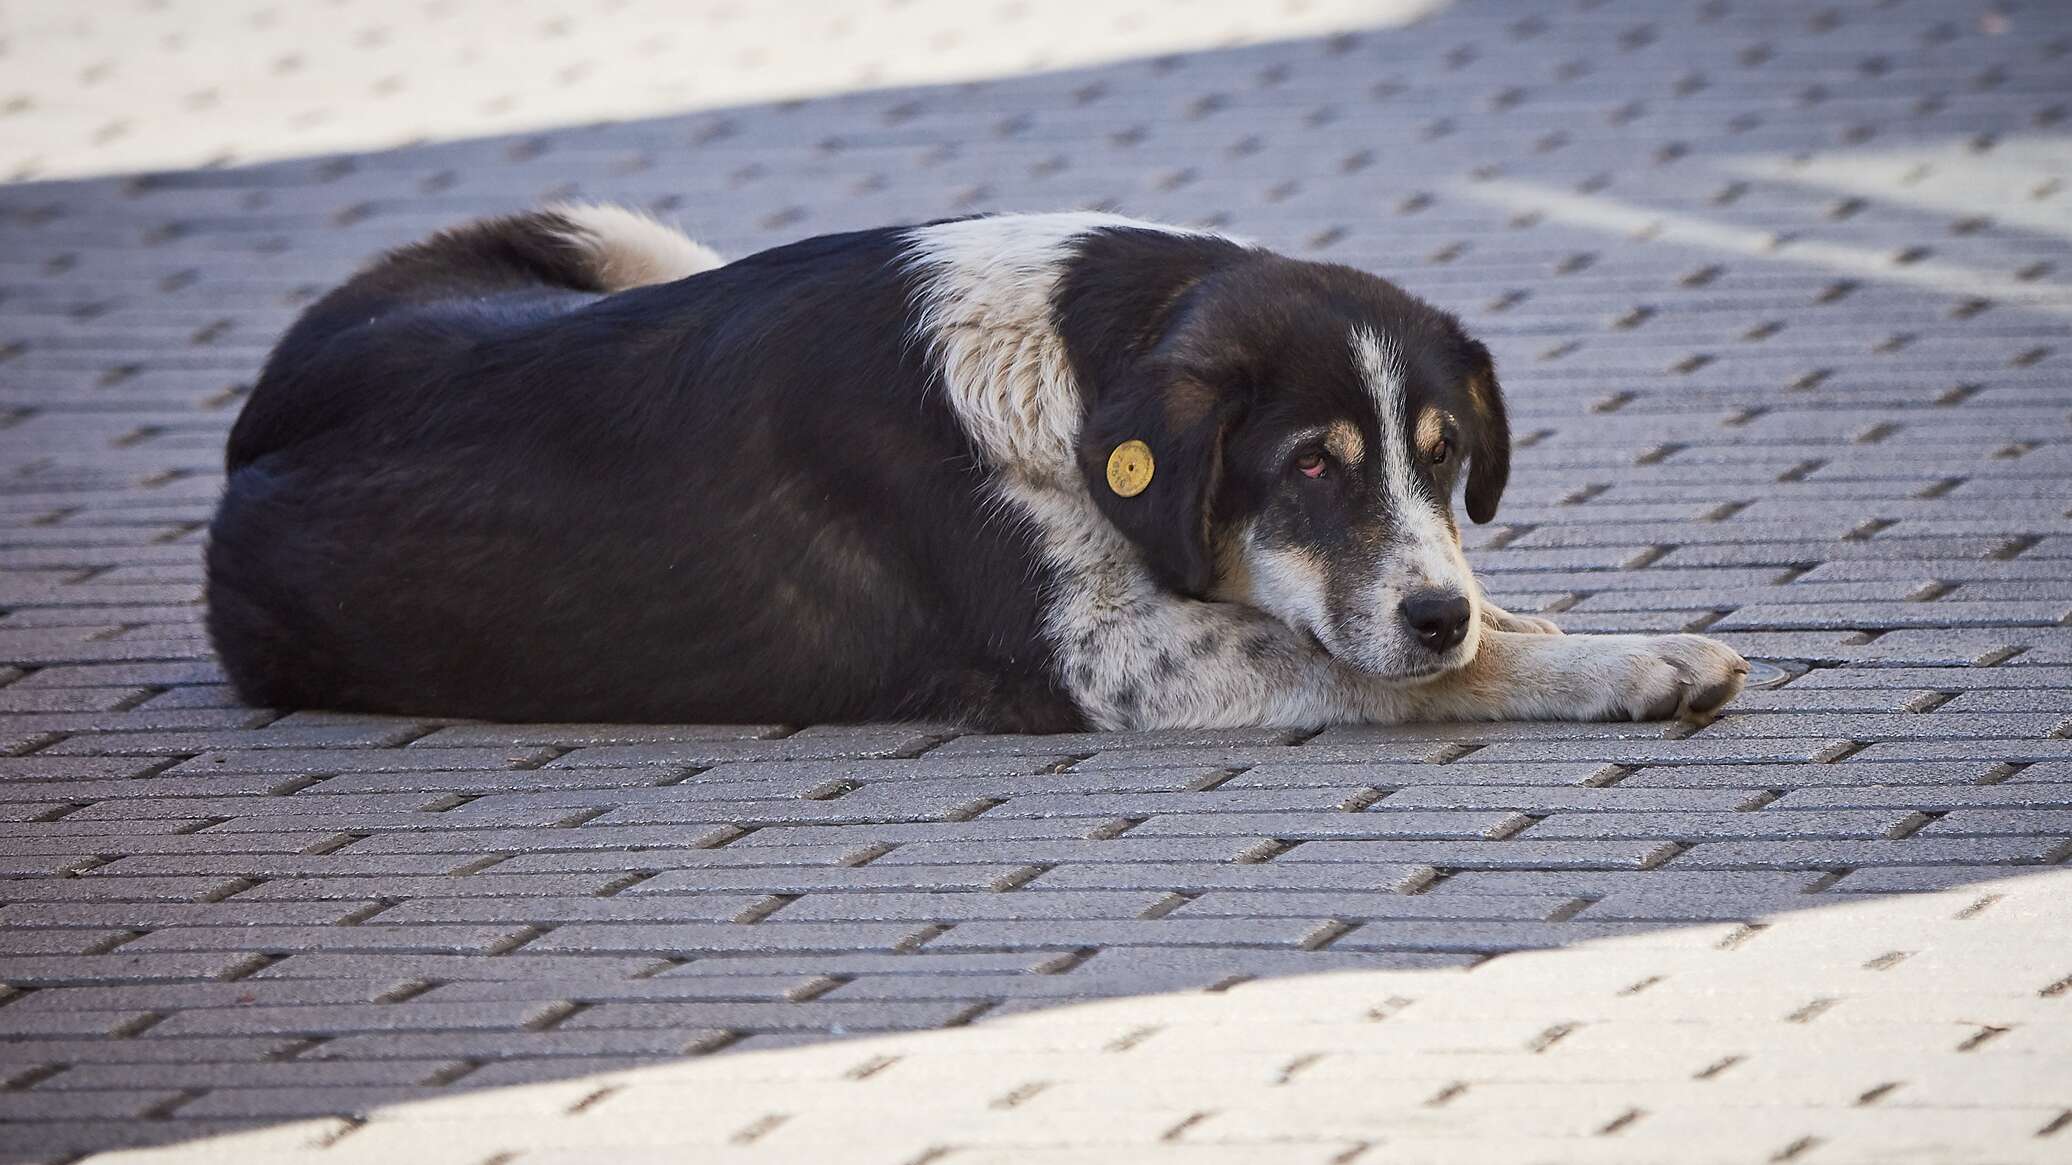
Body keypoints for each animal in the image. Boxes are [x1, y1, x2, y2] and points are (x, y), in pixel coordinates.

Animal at [206, 199, 1748, 725]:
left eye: (1443, 458)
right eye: (1310, 467)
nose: (1436, 610)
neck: (1062, 377)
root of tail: (236, 447)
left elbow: (1472, 629)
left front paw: (1549, 625)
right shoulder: (1119, 664)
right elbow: (1419, 677)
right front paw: (1626, 662)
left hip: (599, 229)